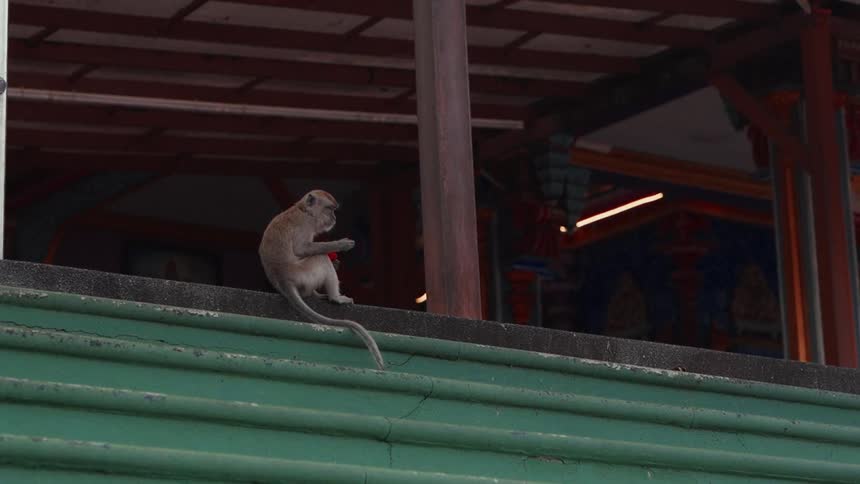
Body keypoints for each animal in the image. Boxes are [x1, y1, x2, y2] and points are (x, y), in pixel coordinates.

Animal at [259, 189, 385, 370]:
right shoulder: (305, 225)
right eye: (329, 209)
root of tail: (282, 279)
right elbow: (301, 249)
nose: (334, 218)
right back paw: (336, 297)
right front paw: (340, 244)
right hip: (303, 274)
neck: (303, 210)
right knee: (321, 258)